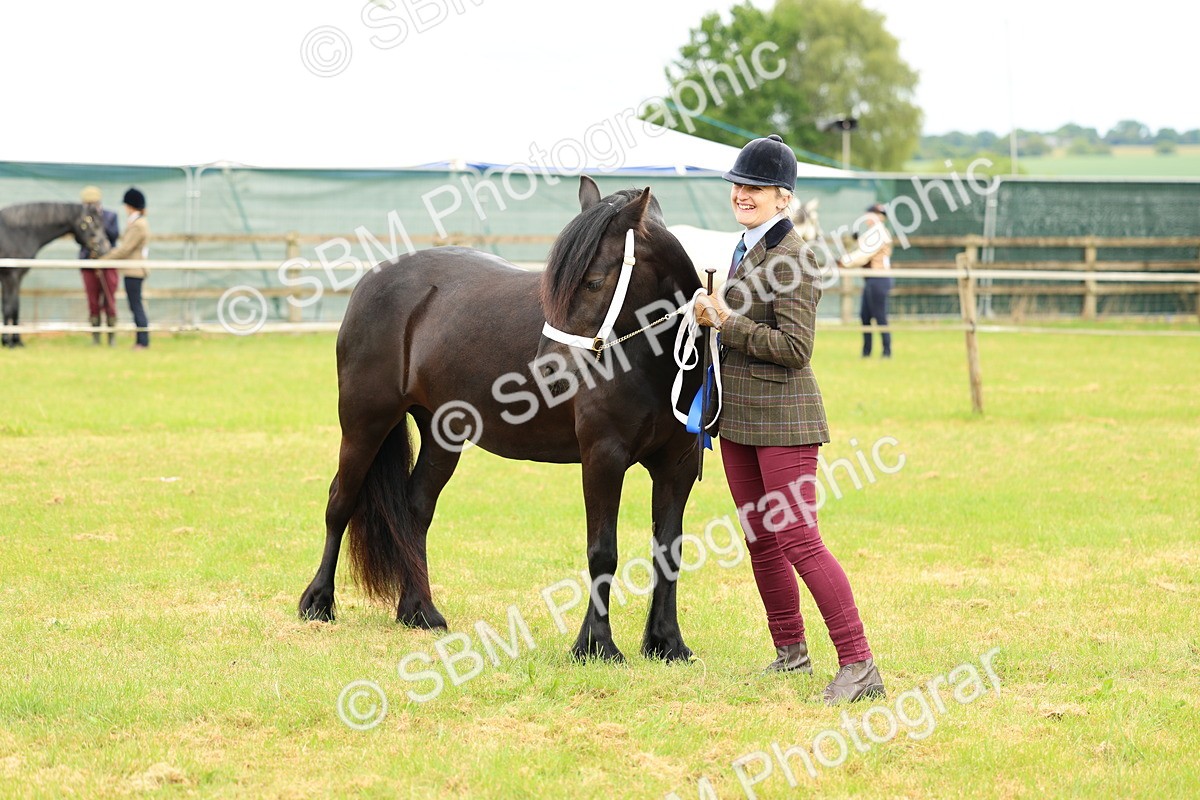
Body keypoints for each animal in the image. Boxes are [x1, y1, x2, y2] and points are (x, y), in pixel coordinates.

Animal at [0, 202, 113, 347]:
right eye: (93, 223)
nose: (106, 248)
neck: (16, 232)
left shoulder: (15, 278)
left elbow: (14, 307)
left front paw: (16, 341)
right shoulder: (11, 277)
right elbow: (9, 307)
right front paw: (8, 342)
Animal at [299, 176, 704, 662]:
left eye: (593, 282)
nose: (548, 369)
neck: (653, 364)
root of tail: (373, 278)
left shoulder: (678, 465)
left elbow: (669, 550)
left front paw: (667, 643)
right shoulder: (603, 458)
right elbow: (602, 551)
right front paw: (596, 645)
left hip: (442, 435)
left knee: (415, 510)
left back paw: (419, 611)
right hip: (364, 423)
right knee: (340, 500)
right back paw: (318, 602)